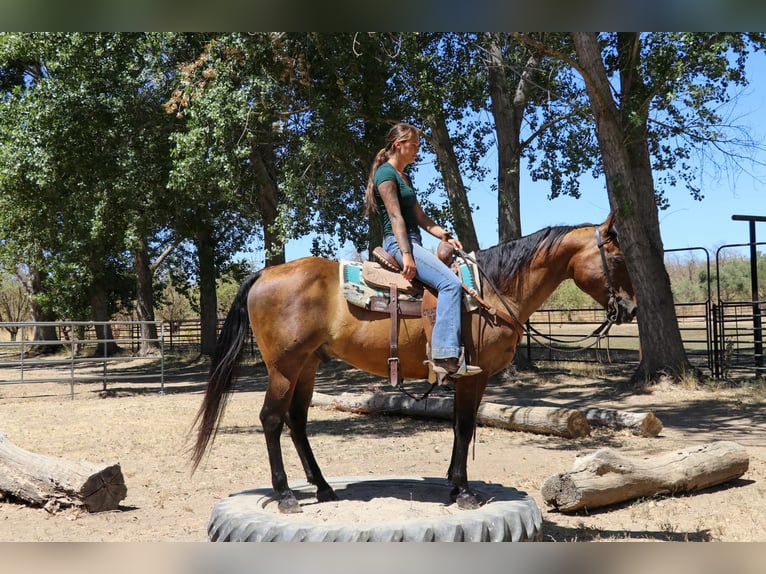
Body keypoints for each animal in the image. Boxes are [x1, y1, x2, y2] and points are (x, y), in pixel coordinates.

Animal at [191, 212, 637, 513]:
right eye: (617, 260)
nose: (630, 309)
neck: (492, 293)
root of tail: (265, 275)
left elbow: (460, 427)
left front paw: (456, 487)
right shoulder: (472, 377)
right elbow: (463, 427)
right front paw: (465, 492)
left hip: (308, 364)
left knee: (296, 421)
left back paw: (322, 487)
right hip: (284, 366)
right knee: (271, 419)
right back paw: (286, 495)